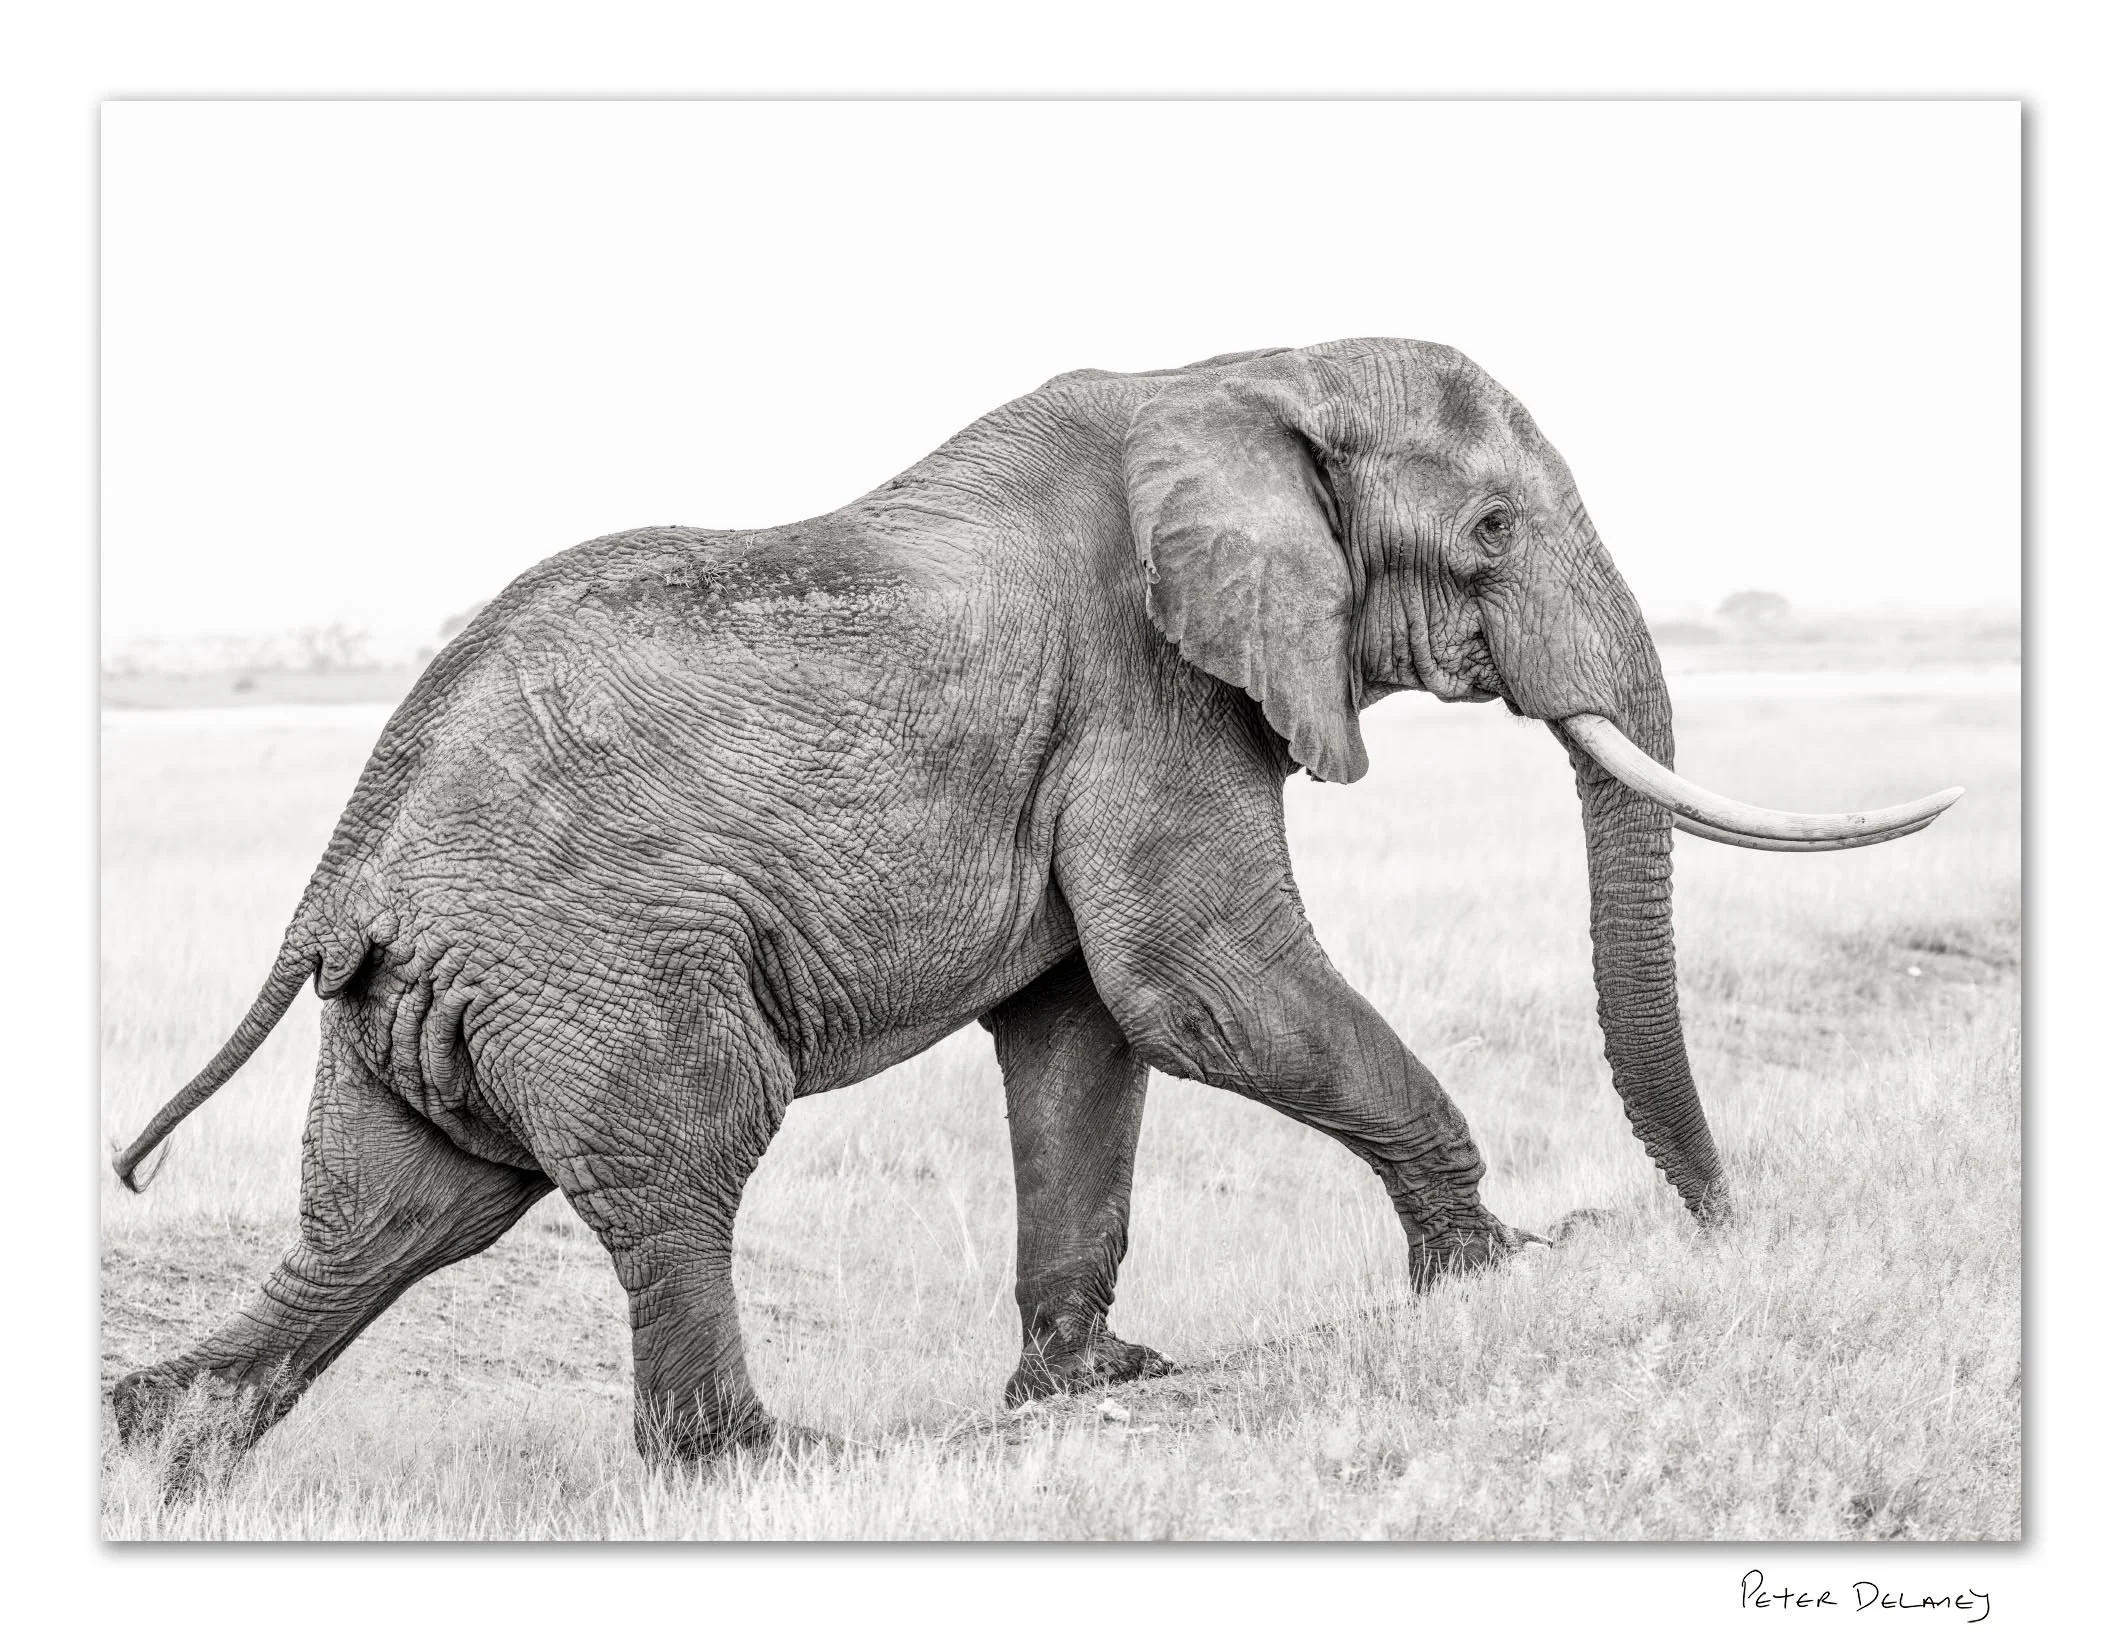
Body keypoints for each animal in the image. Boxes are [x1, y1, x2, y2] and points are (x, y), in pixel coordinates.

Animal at [108, 338, 1960, 1468]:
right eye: (1493, 526)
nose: (1713, 1230)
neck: (1247, 373)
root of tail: (349, 859)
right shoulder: (1149, 684)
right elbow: (1193, 979)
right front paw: (1498, 1266)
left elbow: (1085, 1033)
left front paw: (1095, 1386)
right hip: (599, 961)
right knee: (678, 1154)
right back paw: (770, 1463)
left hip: (443, 996)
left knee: (393, 1218)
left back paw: (153, 1446)